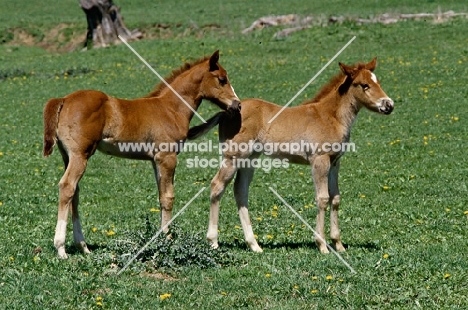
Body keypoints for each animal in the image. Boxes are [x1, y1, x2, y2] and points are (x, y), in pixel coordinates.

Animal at [188, 58, 394, 254]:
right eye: (364, 85)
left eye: (377, 82)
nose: (389, 105)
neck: (331, 116)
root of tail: (226, 112)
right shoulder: (319, 160)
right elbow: (322, 198)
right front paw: (322, 245)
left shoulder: (335, 162)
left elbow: (335, 198)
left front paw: (339, 244)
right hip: (233, 156)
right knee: (217, 186)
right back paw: (213, 242)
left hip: (249, 158)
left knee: (240, 190)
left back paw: (254, 244)